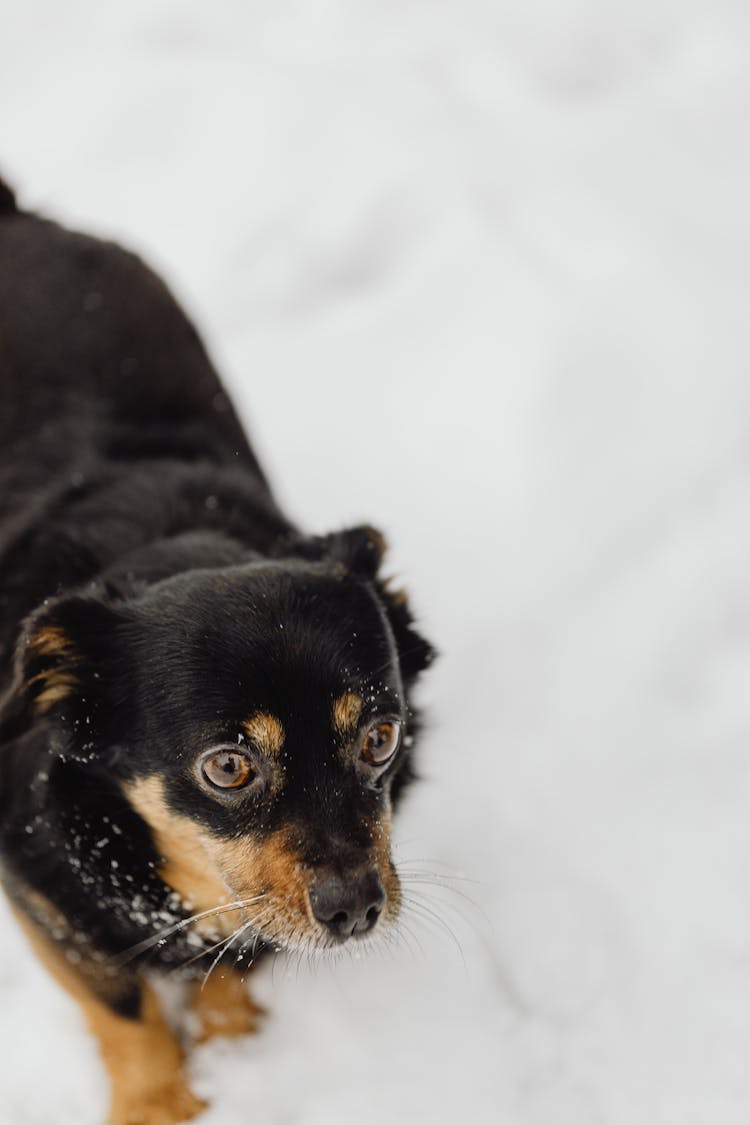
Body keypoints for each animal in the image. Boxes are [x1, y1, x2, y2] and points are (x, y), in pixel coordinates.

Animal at [0, 177, 434, 1125]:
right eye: (228, 766)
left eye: (380, 738)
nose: (356, 910)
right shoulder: (46, 898)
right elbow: (122, 1006)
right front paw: (160, 1102)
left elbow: (233, 957)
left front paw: (238, 1047)